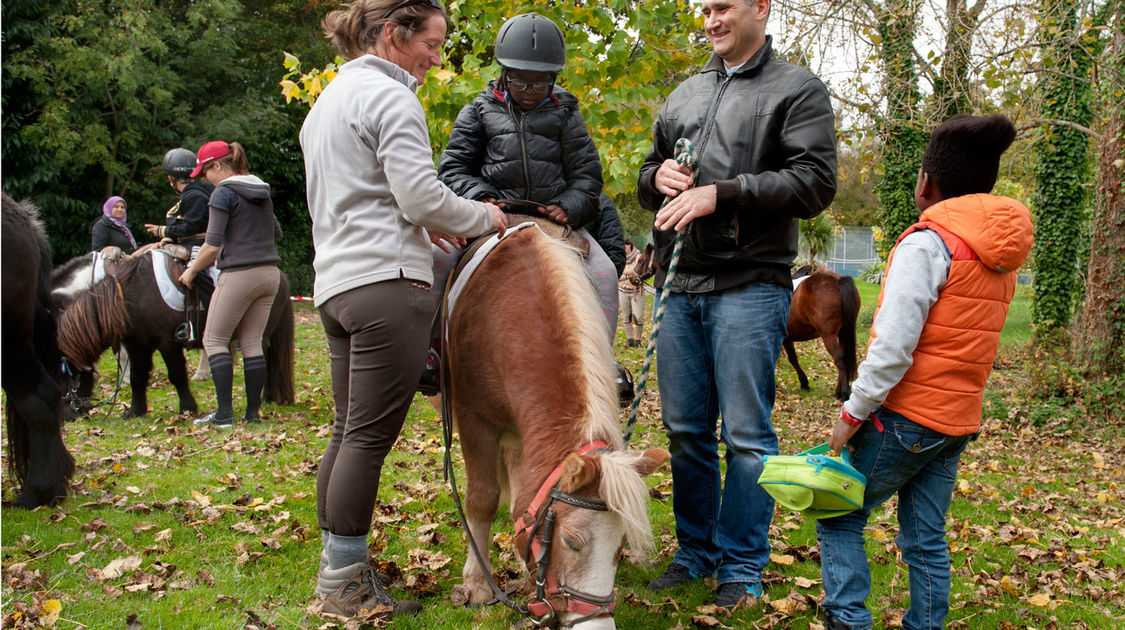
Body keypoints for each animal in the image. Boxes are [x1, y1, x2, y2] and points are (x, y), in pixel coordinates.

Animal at [55, 249, 294, 418]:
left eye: (63, 369)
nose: (67, 415)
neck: (127, 294)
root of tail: (280, 276)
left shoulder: (167, 343)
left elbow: (177, 375)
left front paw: (187, 408)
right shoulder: (138, 345)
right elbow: (137, 377)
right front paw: (135, 411)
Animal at [441, 220, 666, 625]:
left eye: (622, 544)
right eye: (571, 542)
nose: (597, 626)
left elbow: (521, 496)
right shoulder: (473, 418)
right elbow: (482, 499)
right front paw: (477, 584)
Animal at [783, 267, 859, 400]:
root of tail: (839, 280)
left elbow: (792, 359)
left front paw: (804, 383)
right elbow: (793, 358)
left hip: (829, 335)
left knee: (839, 360)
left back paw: (844, 393)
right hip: (843, 333)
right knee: (843, 358)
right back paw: (839, 391)